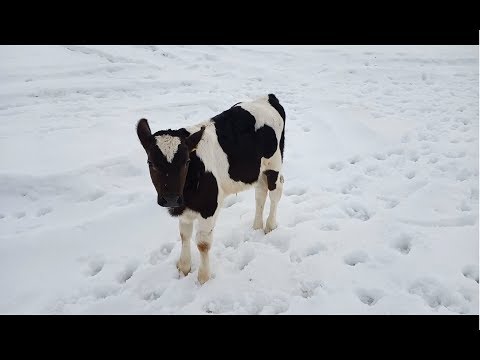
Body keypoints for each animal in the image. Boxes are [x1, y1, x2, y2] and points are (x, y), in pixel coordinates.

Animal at [136, 93, 284, 284]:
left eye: (186, 161)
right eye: (151, 163)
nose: (170, 198)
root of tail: (267, 97)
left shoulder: (209, 207)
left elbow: (203, 244)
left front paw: (203, 278)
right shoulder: (183, 210)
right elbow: (184, 235)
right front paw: (184, 267)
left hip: (274, 164)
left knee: (275, 193)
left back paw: (270, 226)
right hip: (257, 171)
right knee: (260, 193)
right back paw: (257, 226)